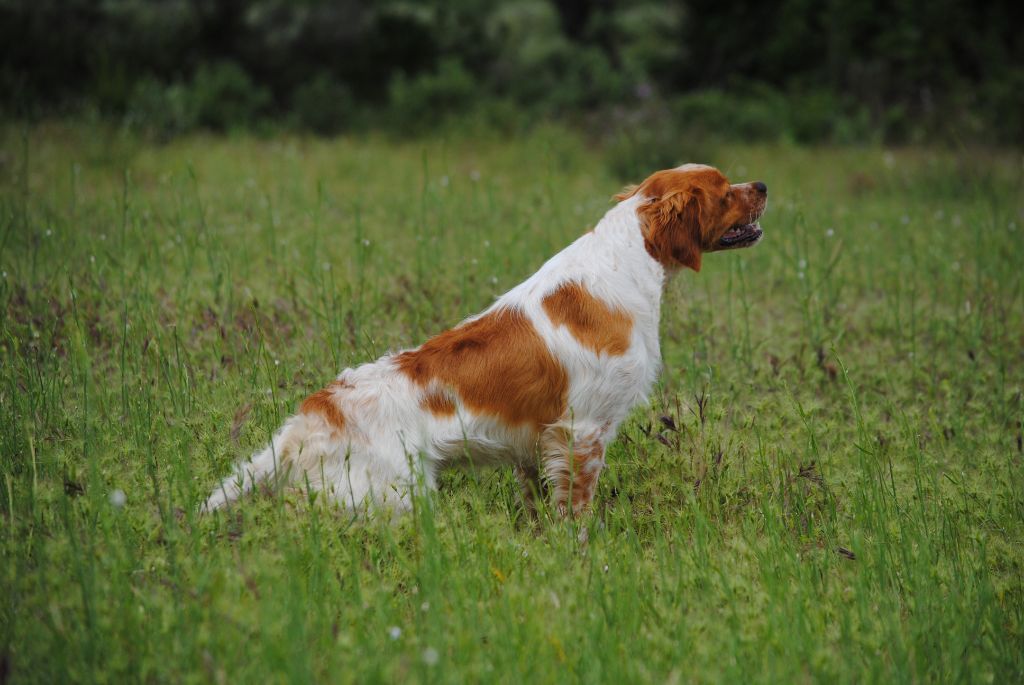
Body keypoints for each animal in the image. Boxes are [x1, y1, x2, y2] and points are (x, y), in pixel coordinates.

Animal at [203, 163, 765, 511]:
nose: (762, 184)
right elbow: (578, 514)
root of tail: (316, 413)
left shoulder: (536, 446)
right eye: (724, 190)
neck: (628, 261)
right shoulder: (583, 432)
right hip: (397, 499)